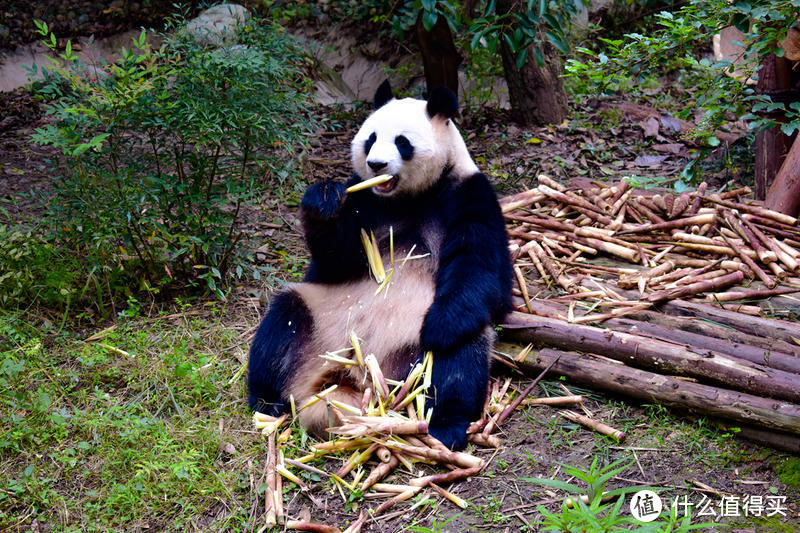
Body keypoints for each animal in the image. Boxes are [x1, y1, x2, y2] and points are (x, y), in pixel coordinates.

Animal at [247, 81, 516, 448]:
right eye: (370, 138)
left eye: (402, 142)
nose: (375, 164)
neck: (407, 198)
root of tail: (355, 381)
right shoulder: (363, 200)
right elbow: (337, 261)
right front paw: (323, 200)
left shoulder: (468, 194)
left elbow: (480, 267)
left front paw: (440, 325)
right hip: (317, 318)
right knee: (280, 324)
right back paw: (266, 401)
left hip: (411, 357)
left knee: (458, 358)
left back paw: (445, 425)